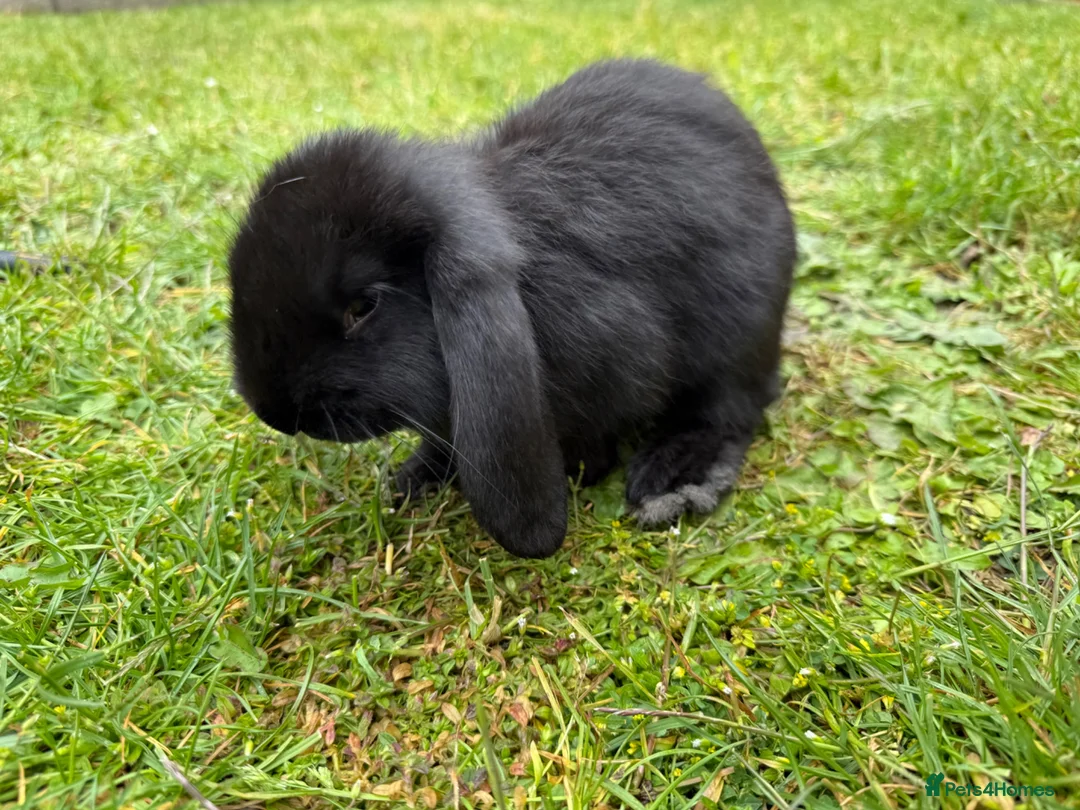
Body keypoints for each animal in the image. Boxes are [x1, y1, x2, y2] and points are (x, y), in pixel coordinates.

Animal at [228, 59, 796, 559]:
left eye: (363, 306)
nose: (273, 412)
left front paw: (585, 471)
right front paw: (411, 481)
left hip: (735, 342)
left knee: (728, 412)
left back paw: (673, 482)